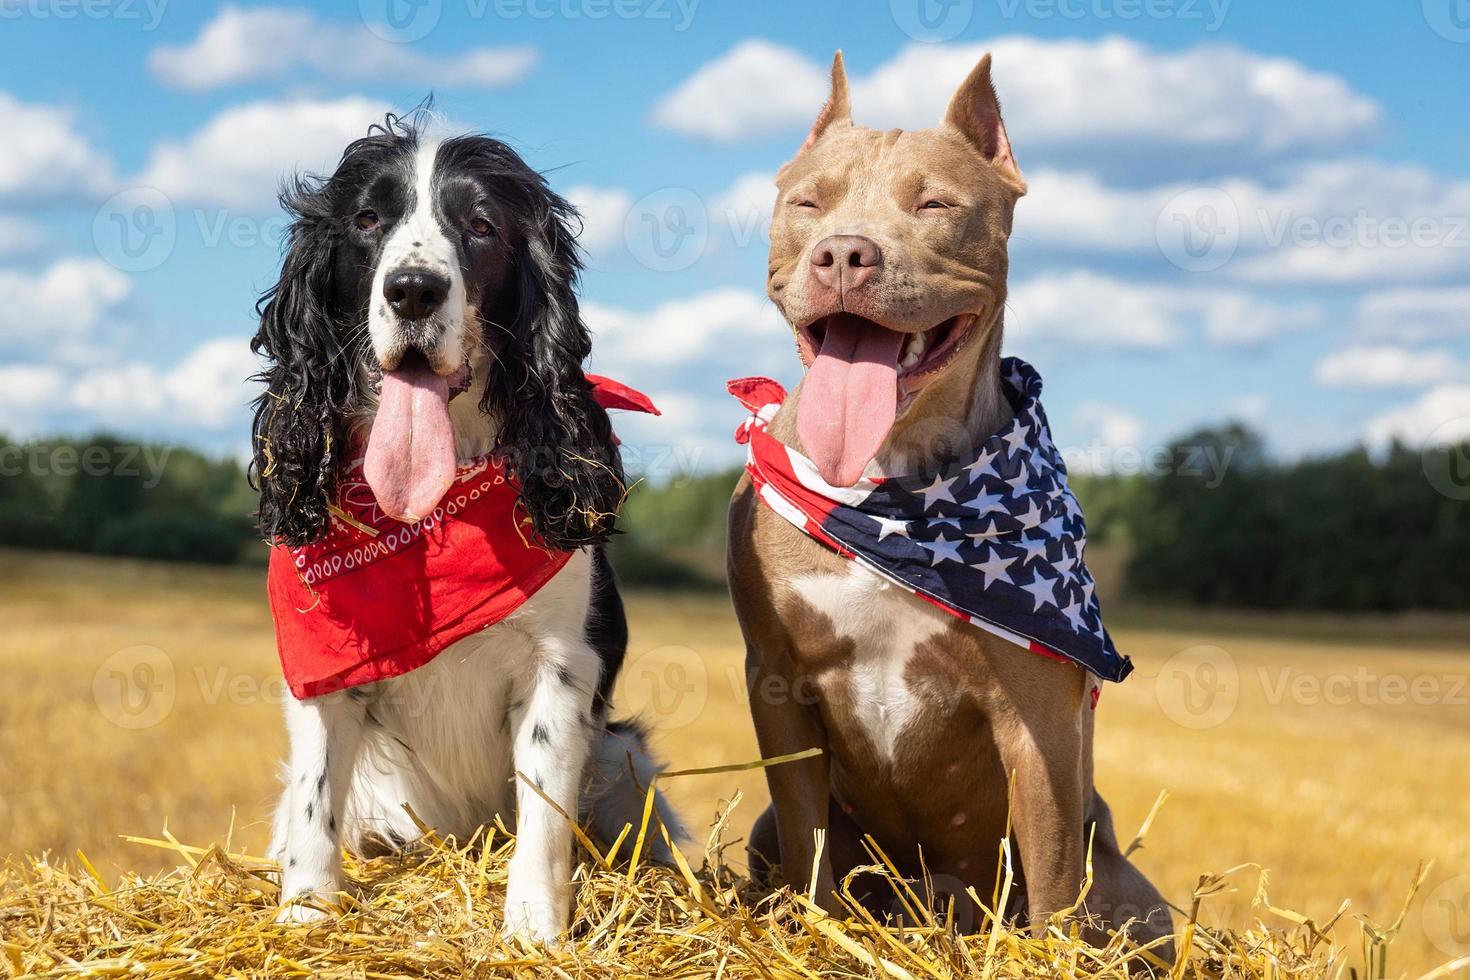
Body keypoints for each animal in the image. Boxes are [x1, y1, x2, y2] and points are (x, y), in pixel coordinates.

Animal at [251, 115, 682, 940]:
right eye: (367, 220)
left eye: (482, 226)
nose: (414, 289)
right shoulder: (325, 671)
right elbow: (315, 799)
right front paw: (307, 913)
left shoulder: (560, 665)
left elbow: (543, 804)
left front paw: (534, 926)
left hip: (626, 757)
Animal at [729, 49, 1176, 952]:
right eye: (808, 202)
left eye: (934, 204)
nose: (844, 254)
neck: (888, 485)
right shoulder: (777, 683)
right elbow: (806, 834)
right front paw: (814, 929)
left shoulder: (1039, 720)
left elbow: (1050, 877)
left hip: (1129, 890)